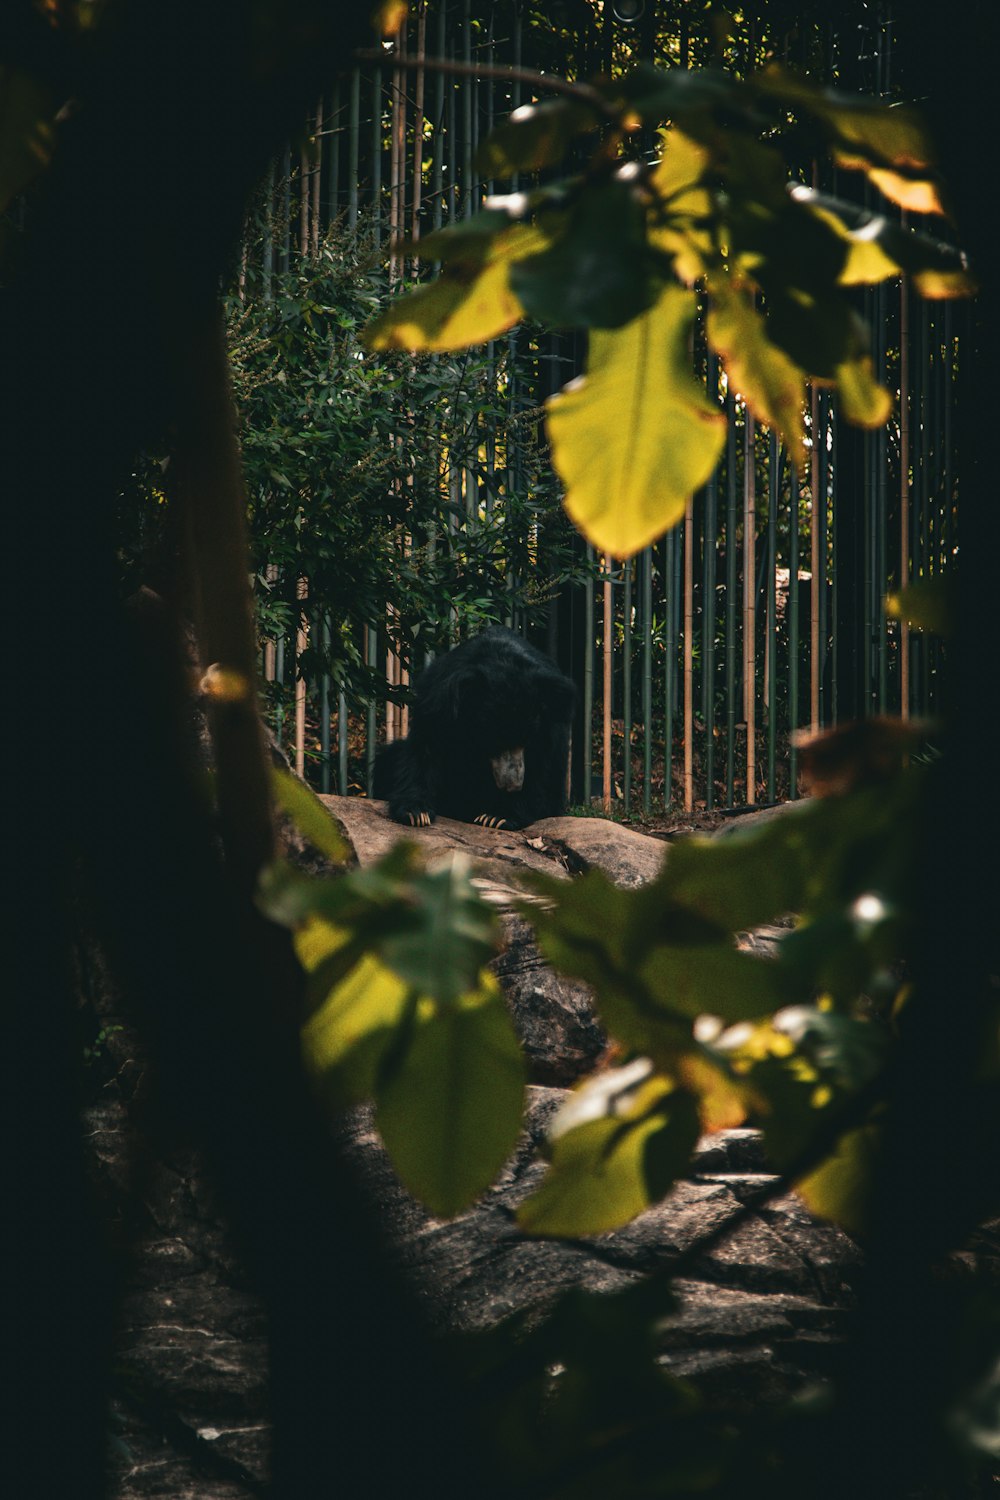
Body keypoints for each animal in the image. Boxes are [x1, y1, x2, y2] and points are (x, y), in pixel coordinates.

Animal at [371, 624, 575, 834]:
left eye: (527, 740)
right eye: (494, 740)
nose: (513, 785)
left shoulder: (548, 727)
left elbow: (540, 770)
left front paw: (496, 817)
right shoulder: (437, 704)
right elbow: (425, 750)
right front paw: (416, 813)